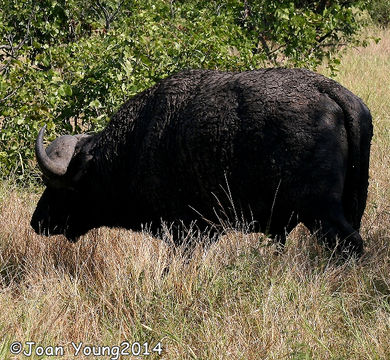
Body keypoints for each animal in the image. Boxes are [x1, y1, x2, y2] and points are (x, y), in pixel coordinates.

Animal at [30, 69, 372, 256]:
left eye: (62, 189)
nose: (37, 221)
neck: (135, 143)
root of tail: (330, 91)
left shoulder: (185, 232)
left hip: (321, 213)